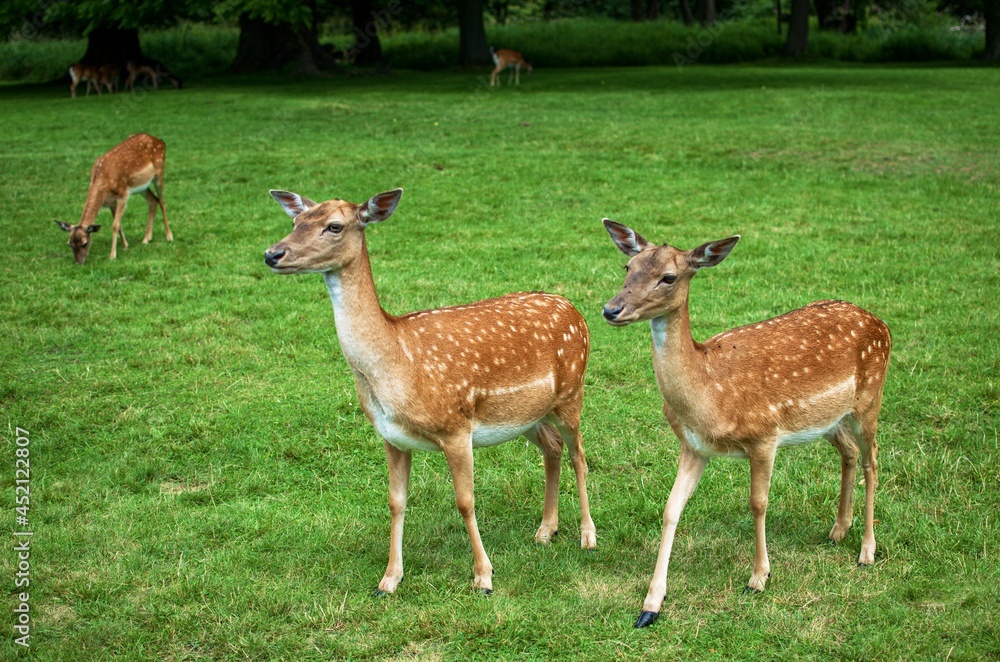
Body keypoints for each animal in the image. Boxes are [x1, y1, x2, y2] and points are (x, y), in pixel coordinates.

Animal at [54, 134, 174, 264]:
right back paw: (146, 239)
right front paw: (125, 245)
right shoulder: (110, 202)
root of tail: (161, 141)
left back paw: (169, 236)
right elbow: (118, 223)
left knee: (162, 201)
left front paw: (112, 255)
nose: (78, 262)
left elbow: (115, 225)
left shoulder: (123, 195)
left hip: (159, 173)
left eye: (85, 243)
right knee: (153, 201)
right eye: (69, 244)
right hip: (143, 186)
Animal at [262, 187, 596, 596]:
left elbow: (465, 501)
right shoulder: (391, 437)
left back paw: (587, 536)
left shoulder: (455, 427)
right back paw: (545, 530)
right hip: (528, 415)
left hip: (572, 392)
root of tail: (576, 311)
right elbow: (395, 502)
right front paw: (389, 579)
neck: (396, 368)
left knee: (580, 454)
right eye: (295, 221)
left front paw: (484, 576)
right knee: (553, 447)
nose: (273, 254)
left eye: (334, 226)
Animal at [600, 220, 892, 632]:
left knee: (872, 460)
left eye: (668, 277)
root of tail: (881, 324)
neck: (710, 397)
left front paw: (758, 577)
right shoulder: (693, 446)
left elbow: (758, 503)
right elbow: (671, 508)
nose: (611, 309)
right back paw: (838, 530)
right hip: (828, 419)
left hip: (869, 398)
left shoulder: (764, 436)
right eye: (629, 267)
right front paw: (650, 605)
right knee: (849, 453)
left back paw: (866, 550)